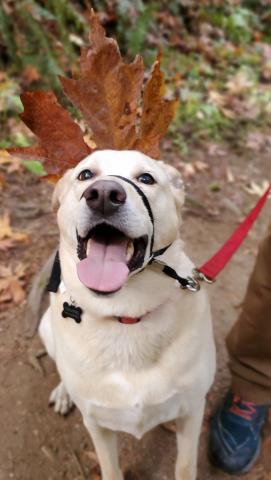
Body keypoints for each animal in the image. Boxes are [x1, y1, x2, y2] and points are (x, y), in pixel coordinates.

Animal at [38, 148, 217, 478]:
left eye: (146, 178)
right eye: (85, 175)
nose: (104, 195)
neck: (125, 316)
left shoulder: (193, 409)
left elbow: (185, 466)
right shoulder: (96, 423)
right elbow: (110, 467)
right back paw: (63, 392)